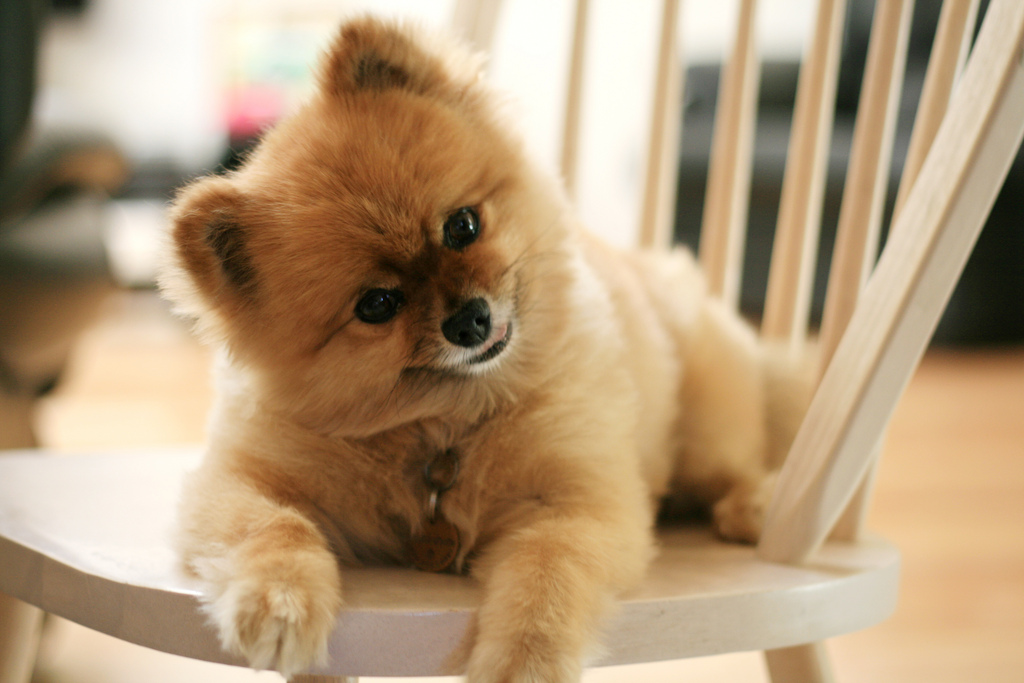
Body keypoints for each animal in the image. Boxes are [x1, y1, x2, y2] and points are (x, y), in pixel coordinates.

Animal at [161, 15, 806, 683]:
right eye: (377, 304)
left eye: (462, 226)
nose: (470, 320)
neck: (448, 422)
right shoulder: (237, 480)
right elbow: (272, 526)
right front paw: (278, 603)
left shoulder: (578, 506)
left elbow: (546, 575)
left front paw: (525, 661)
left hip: (707, 423)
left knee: (738, 464)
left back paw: (754, 506)